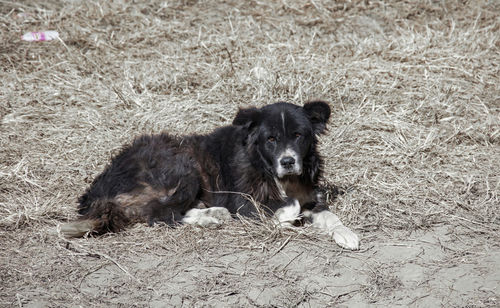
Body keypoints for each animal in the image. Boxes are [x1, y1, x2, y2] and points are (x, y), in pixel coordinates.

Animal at [60, 101, 360, 250]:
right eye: (271, 139)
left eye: (298, 135)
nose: (288, 162)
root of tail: (97, 188)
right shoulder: (245, 202)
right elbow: (287, 207)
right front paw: (286, 220)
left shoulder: (309, 194)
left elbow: (327, 214)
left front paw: (347, 234)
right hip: (182, 166)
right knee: (160, 215)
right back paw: (210, 218)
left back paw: (213, 214)